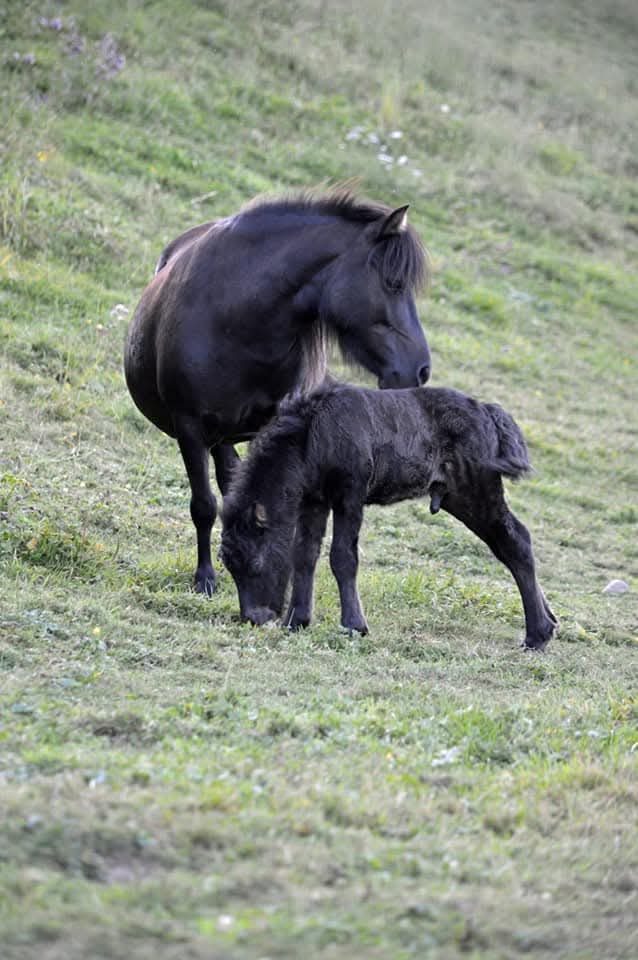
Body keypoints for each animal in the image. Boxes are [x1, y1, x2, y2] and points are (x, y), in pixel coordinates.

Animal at [124, 188, 431, 595]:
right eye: (393, 283)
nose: (422, 369)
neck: (237, 320)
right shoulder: (189, 429)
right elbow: (203, 506)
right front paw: (205, 578)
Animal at [219, 383, 557, 650]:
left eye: (256, 564)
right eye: (230, 565)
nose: (254, 618)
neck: (314, 432)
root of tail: (488, 411)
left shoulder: (350, 496)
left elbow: (342, 557)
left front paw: (354, 626)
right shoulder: (314, 500)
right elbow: (303, 554)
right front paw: (296, 620)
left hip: (478, 490)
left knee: (516, 540)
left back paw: (536, 635)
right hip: (458, 498)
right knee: (507, 544)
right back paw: (549, 623)